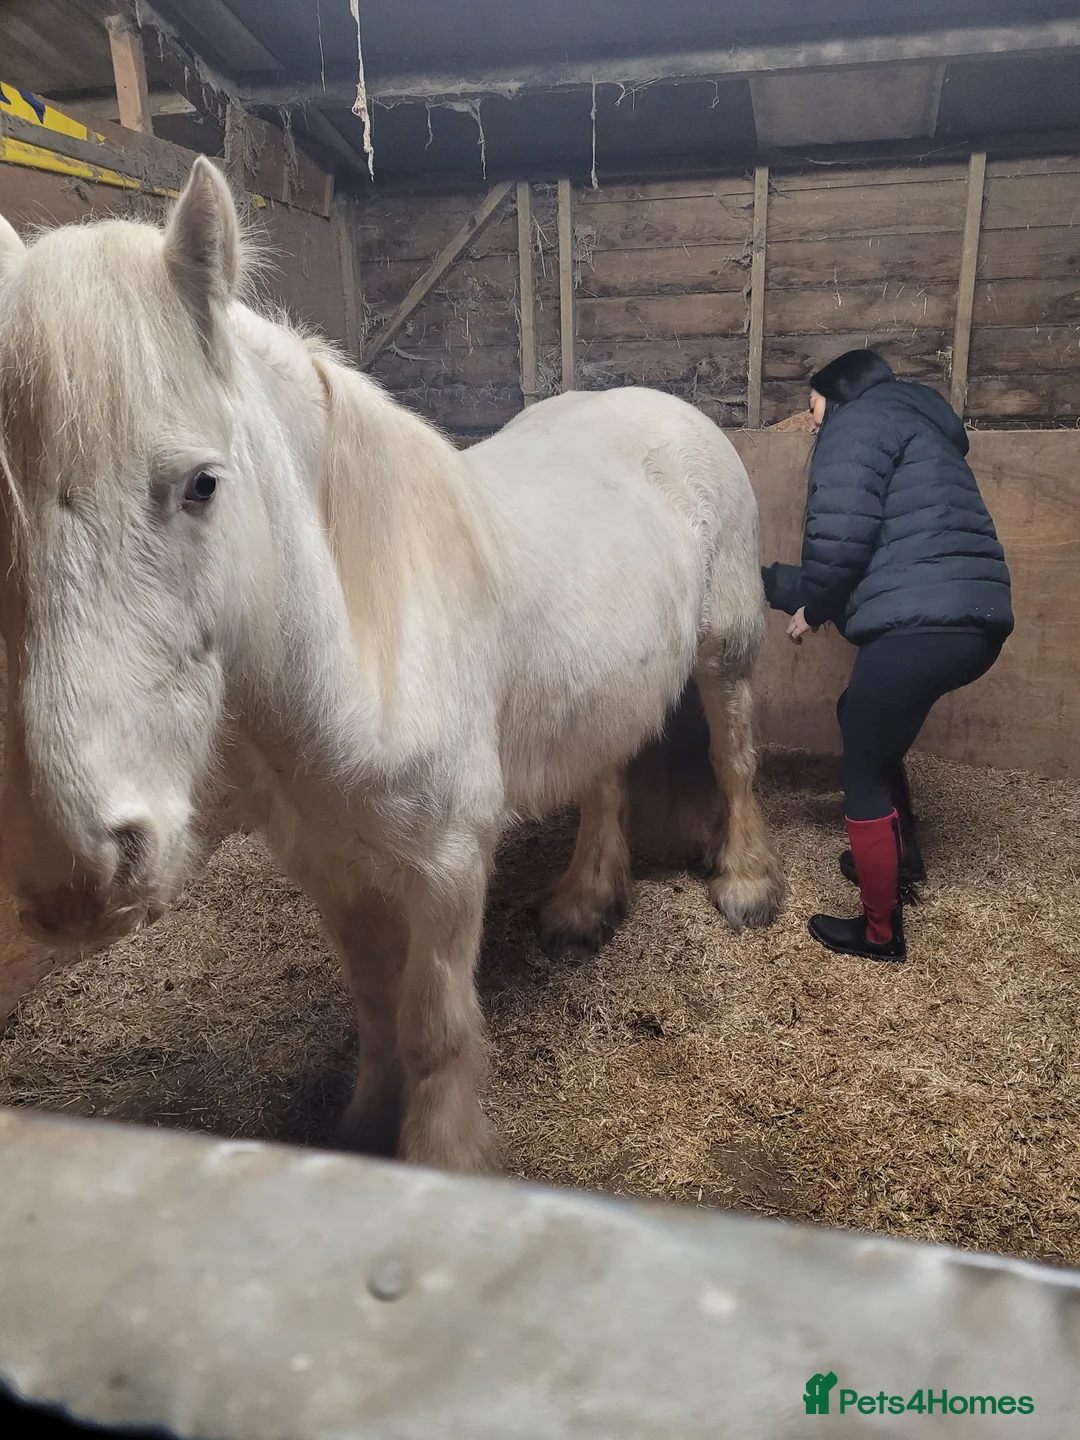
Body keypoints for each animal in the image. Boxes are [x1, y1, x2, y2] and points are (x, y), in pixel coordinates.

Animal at [0, 157, 784, 1172]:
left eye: (202, 484)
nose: (77, 875)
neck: (360, 657)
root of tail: (669, 408)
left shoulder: (446, 874)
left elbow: (433, 1032)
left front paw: (439, 1159)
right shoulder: (332, 866)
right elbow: (376, 1014)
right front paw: (365, 1133)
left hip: (727, 654)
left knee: (736, 759)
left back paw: (746, 883)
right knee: (604, 776)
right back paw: (582, 905)